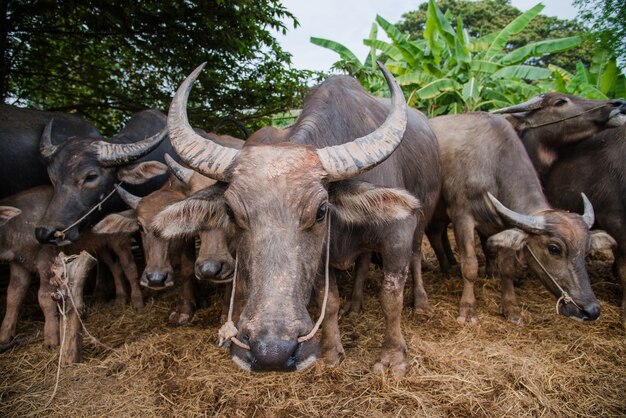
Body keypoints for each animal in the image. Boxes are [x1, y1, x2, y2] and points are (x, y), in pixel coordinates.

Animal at [426, 112, 612, 324]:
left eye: (587, 251)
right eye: (554, 249)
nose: (591, 310)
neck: (492, 164)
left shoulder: (504, 223)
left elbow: (507, 267)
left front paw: (511, 309)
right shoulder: (462, 216)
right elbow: (470, 265)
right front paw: (468, 309)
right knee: (435, 235)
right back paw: (447, 269)